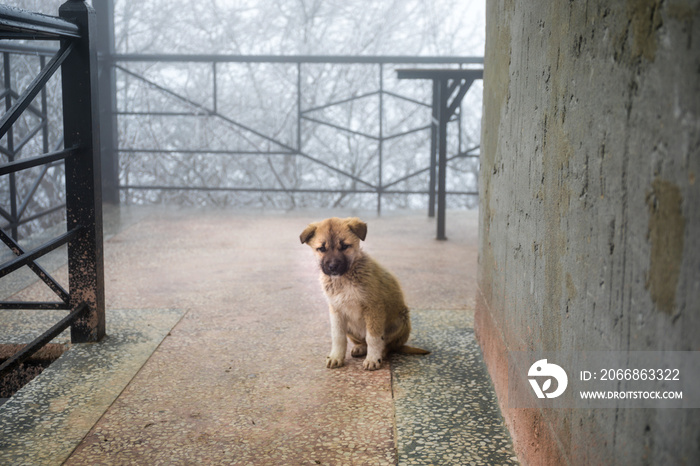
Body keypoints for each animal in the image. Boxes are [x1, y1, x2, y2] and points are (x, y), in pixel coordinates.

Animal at [300, 218, 430, 372]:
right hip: (350, 328)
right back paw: (360, 348)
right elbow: (338, 337)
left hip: (400, 320)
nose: (332, 267)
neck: (344, 279)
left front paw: (373, 359)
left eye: (345, 246)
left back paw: (382, 352)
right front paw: (336, 356)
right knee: (362, 341)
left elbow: (373, 337)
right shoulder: (336, 310)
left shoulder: (373, 307)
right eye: (321, 249)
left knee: (388, 345)